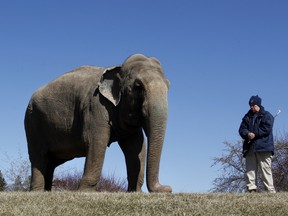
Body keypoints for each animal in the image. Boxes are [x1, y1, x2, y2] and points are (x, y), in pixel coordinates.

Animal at [24, 53, 171, 192]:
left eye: (169, 86)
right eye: (138, 87)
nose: (167, 188)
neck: (117, 68)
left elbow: (136, 146)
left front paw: (135, 192)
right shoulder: (95, 105)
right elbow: (97, 141)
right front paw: (85, 192)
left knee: (51, 162)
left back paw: (47, 191)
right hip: (32, 123)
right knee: (39, 157)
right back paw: (37, 192)